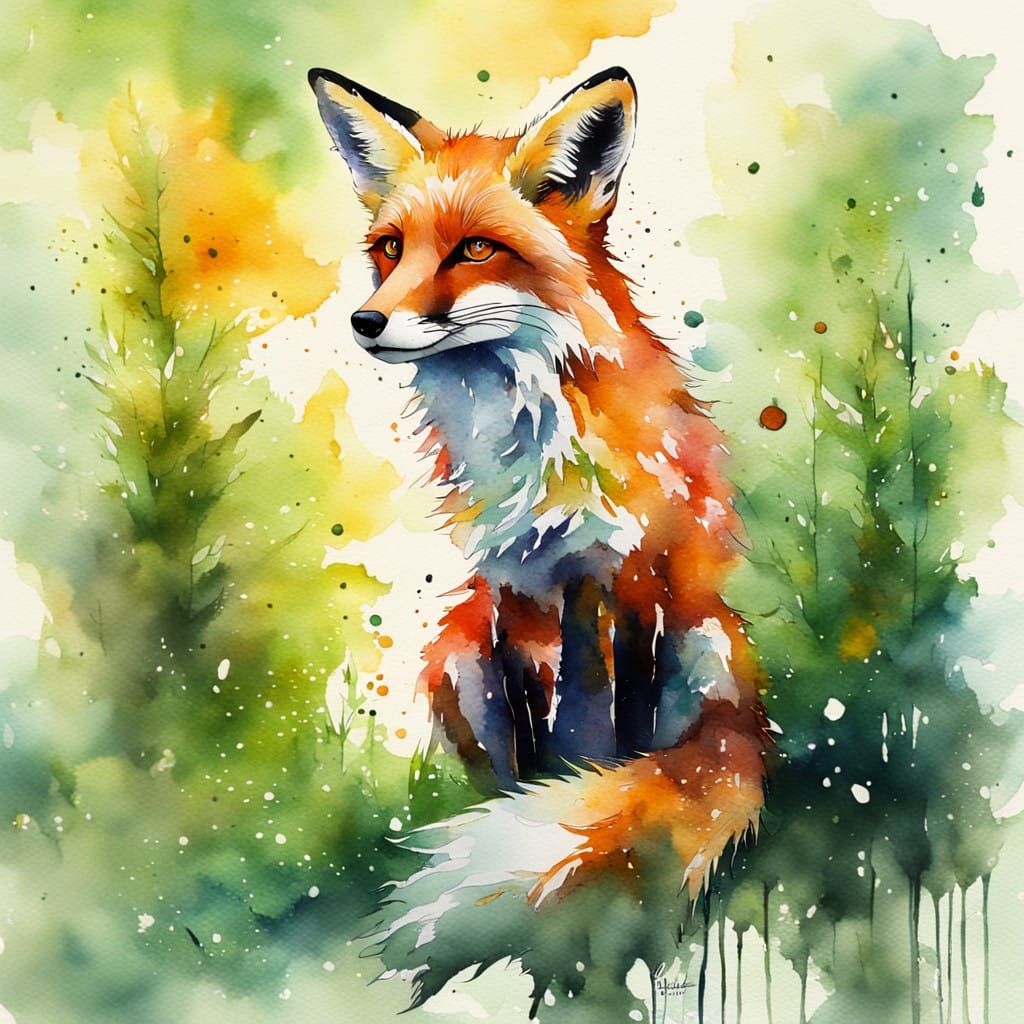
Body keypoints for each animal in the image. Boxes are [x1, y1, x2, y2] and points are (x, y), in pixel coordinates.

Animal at [309, 66, 772, 1007]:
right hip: (455, 659)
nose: (366, 323)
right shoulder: (513, 591)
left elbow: (624, 742)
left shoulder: (633, 580)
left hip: (704, 640)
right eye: (390, 249)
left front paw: (605, 833)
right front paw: (541, 815)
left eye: (475, 251)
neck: (524, 434)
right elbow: (535, 751)